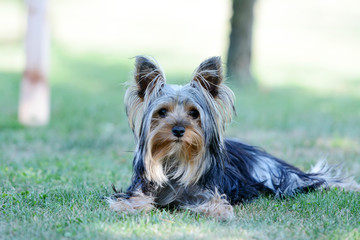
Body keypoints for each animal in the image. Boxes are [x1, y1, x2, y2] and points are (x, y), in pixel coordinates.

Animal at [107, 55, 360, 219]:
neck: (176, 158)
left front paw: (219, 210)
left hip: (276, 176)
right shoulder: (143, 185)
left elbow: (216, 202)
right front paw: (126, 206)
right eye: (161, 112)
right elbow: (136, 199)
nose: (178, 130)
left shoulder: (210, 189)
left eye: (193, 113)